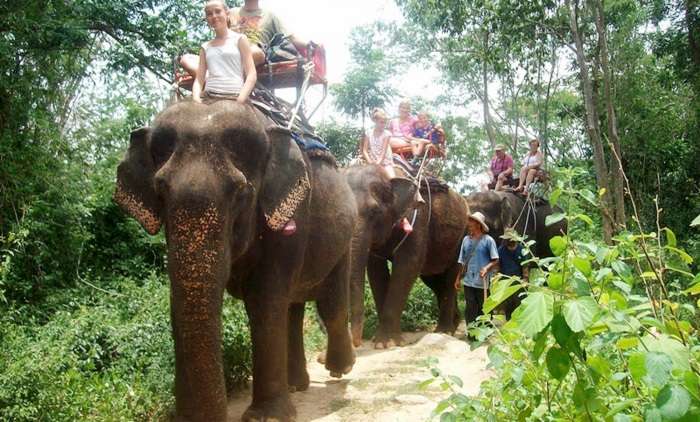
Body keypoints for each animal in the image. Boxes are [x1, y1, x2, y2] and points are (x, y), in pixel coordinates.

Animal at [113, 100, 357, 422]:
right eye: (160, 190)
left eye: (241, 192)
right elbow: (179, 300)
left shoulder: (292, 214)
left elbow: (264, 299)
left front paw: (267, 417)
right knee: (292, 309)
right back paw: (296, 386)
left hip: (345, 239)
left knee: (329, 303)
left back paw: (339, 369)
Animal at [344, 164, 469, 348]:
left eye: (374, 212)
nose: (356, 344)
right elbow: (376, 271)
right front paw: (379, 341)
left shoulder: (418, 220)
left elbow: (408, 265)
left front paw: (387, 343)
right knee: (435, 281)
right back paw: (454, 324)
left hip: (461, 239)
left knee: (450, 279)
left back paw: (444, 331)